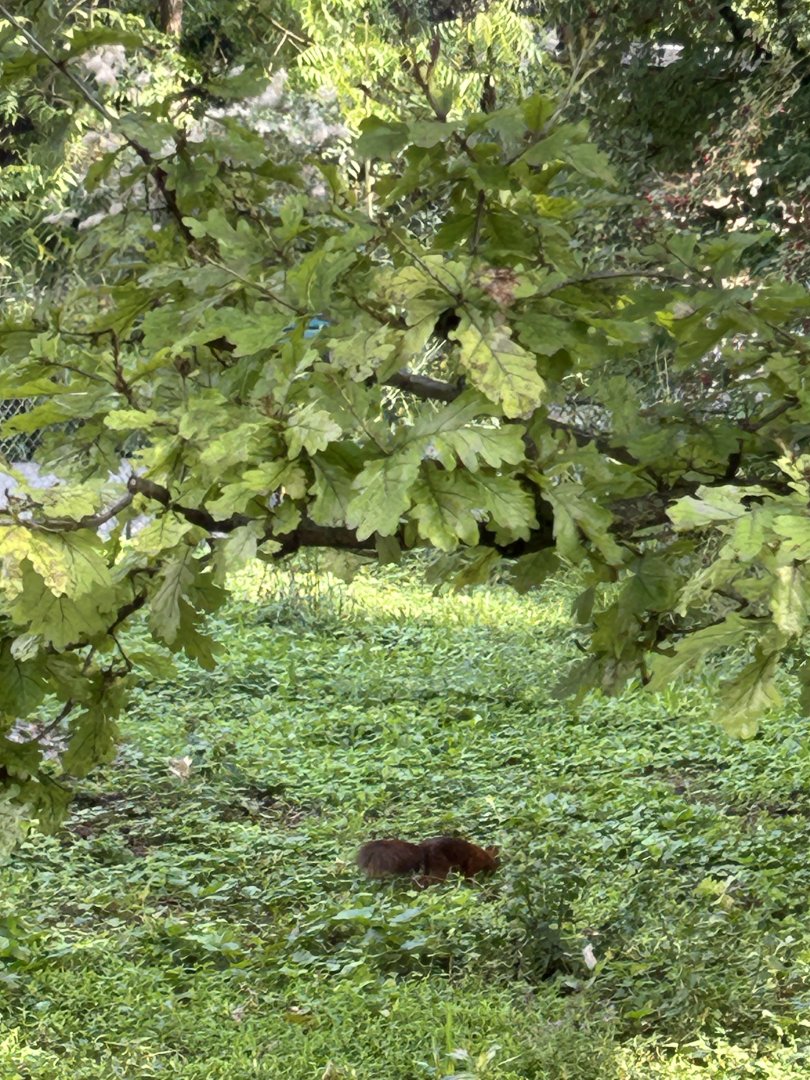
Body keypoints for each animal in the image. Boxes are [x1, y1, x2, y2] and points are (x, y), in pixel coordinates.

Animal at [357, 837, 499, 887]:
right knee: (429, 880)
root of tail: (421, 847)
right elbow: (469, 878)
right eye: (497, 866)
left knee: (422, 878)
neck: (487, 857)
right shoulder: (473, 866)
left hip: (428, 867)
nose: (492, 875)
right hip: (440, 867)